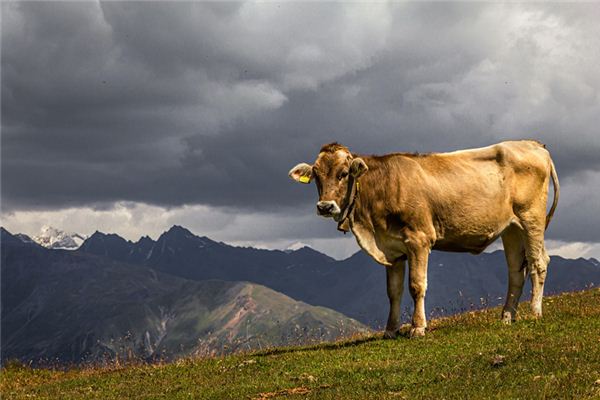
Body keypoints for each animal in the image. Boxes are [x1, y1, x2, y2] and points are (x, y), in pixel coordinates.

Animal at [288, 141, 560, 338]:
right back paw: (506, 316)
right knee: (516, 271)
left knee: (538, 263)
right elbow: (393, 291)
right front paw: (390, 330)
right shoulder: (393, 250)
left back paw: (534, 312)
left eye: (344, 173)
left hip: (531, 218)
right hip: (511, 229)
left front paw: (418, 327)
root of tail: (534, 144)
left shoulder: (419, 240)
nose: (325, 206)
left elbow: (416, 286)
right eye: (316, 175)